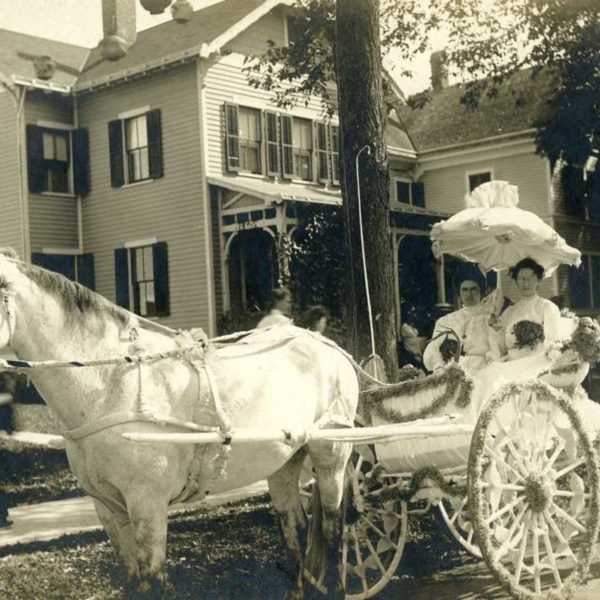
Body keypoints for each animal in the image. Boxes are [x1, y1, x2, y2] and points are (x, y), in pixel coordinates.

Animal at [0, 250, 358, 600]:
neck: (112, 383)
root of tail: (327, 346)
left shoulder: (148, 504)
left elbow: (153, 583)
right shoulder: (108, 508)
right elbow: (132, 581)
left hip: (331, 458)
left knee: (333, 532)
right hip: (284, 462)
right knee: (295, 527)